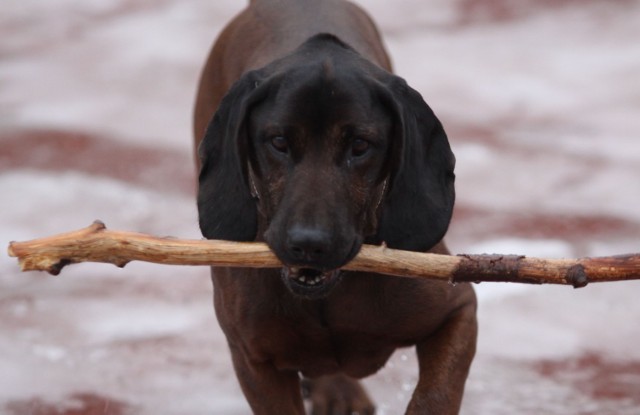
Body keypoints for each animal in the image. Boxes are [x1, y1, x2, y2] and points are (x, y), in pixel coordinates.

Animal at [192, 1, 478, 414]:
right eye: (278, 141)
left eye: (360, 145)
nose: (309, 244)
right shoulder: (253, 360)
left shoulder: (457, 312)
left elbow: (435, 396)